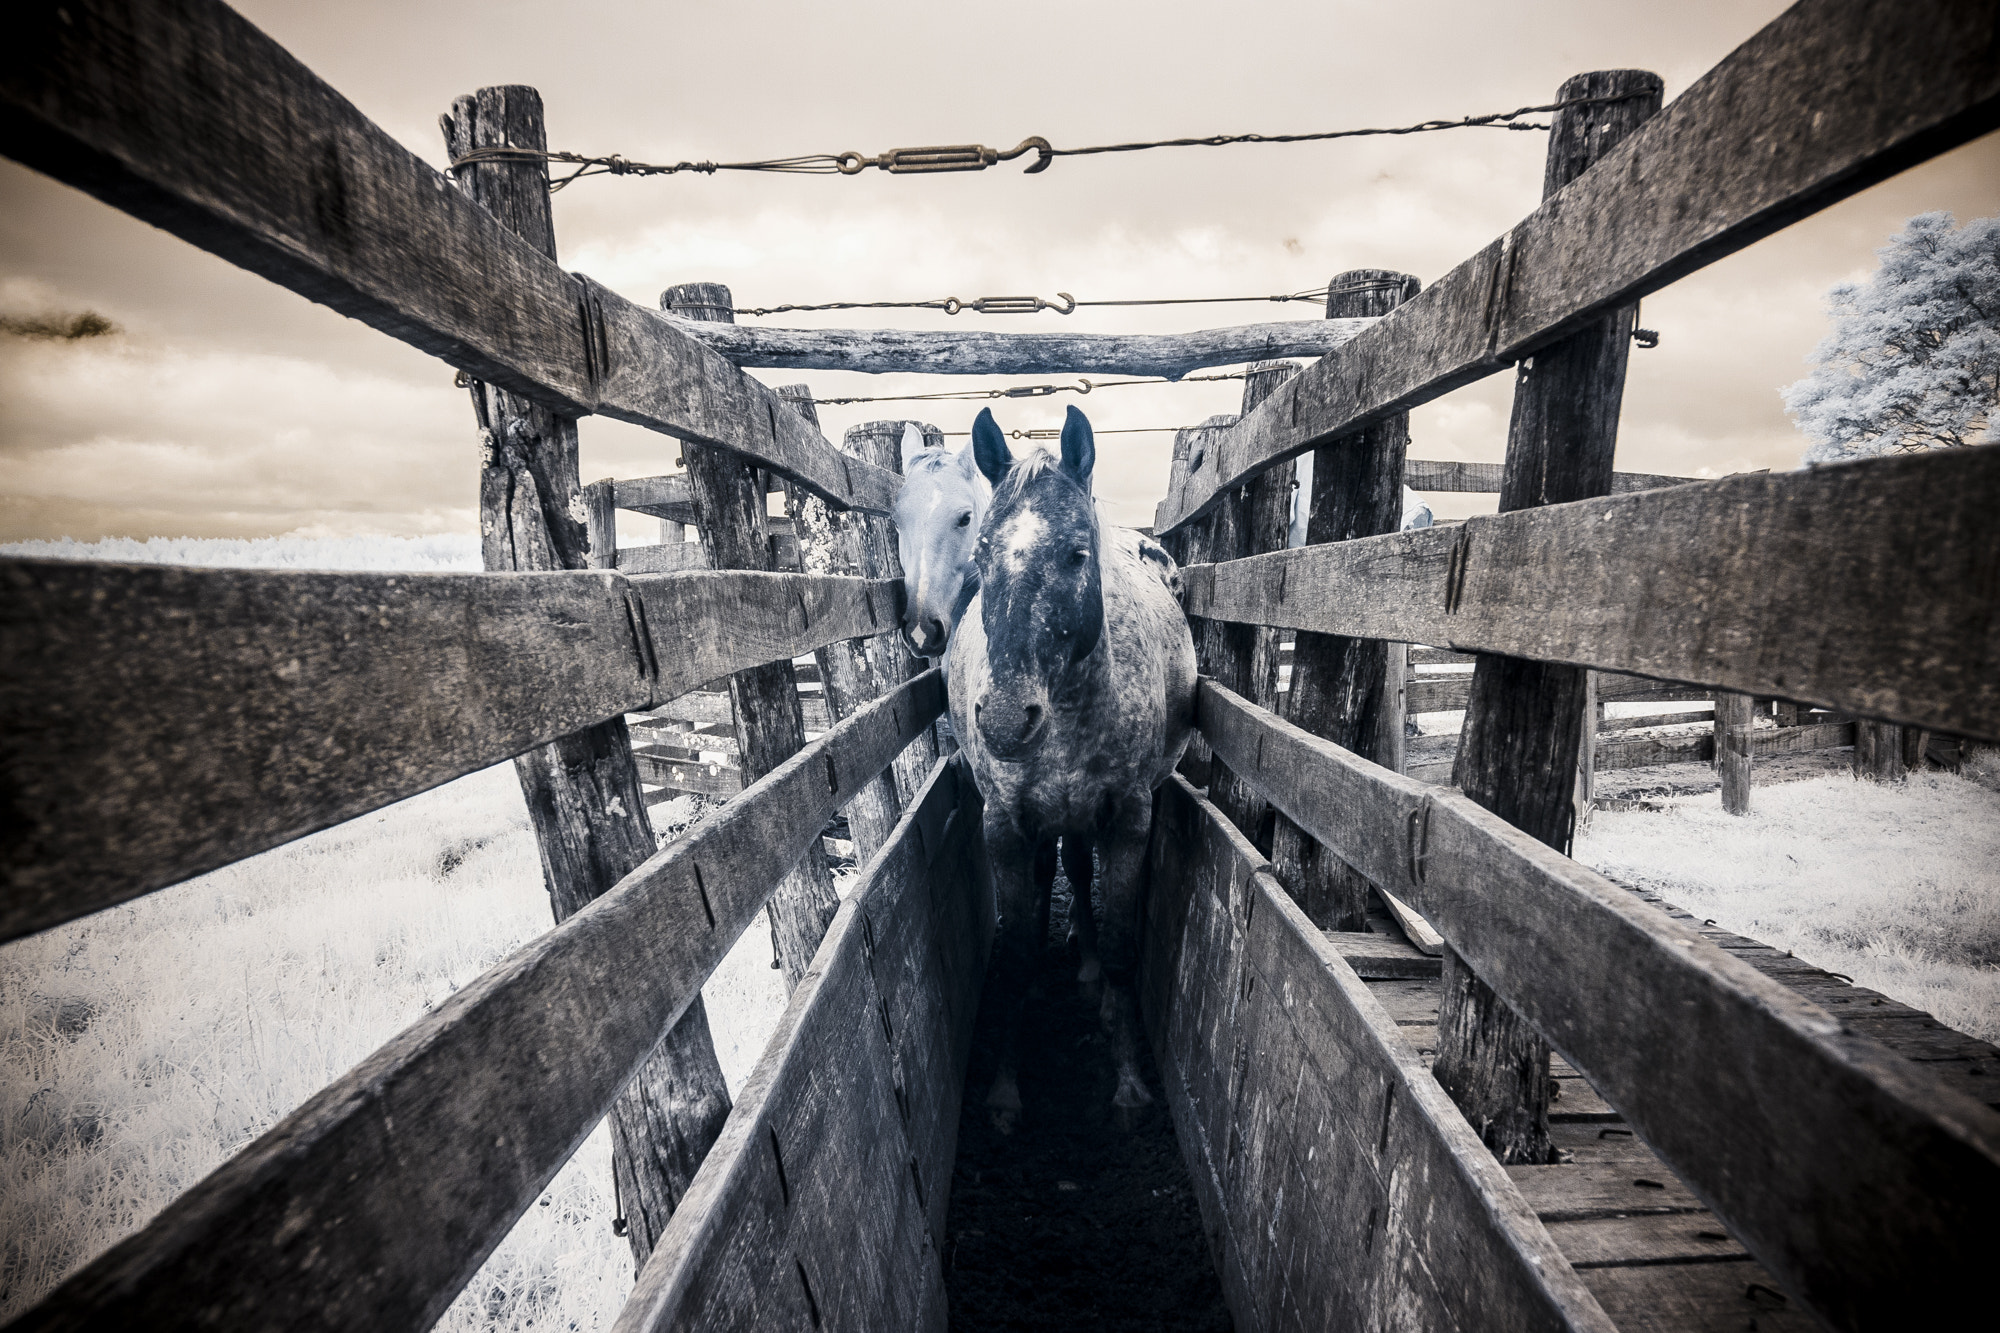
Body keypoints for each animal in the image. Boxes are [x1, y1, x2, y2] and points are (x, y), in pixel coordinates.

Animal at [948, 405, 1197, 1131]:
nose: (1005, 720)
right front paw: (1004, 1089)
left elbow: (1117, 943)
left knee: (1081, 880)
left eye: (1076, 553)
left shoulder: (1127, 820)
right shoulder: (1005, 825)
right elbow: (1012, 952)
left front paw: (1129, 1081)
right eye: (981, 556)